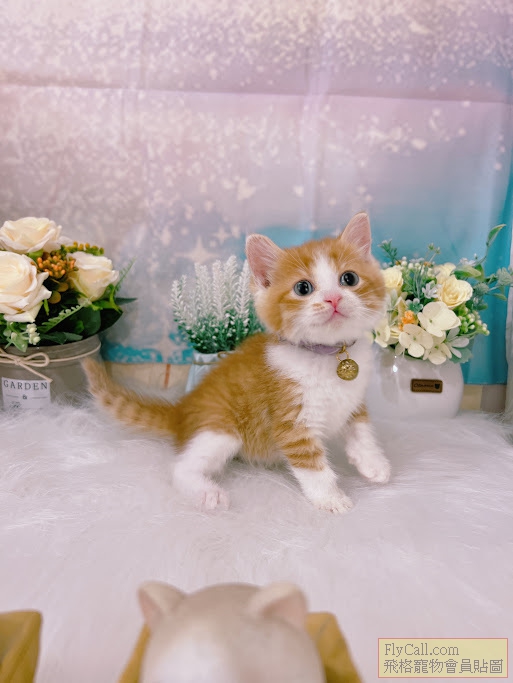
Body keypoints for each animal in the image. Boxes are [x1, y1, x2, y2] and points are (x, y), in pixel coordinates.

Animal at [83, 212, 390, 513]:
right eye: (303, 288)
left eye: (349, 278)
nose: (333, 298)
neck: (325, 355)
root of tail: (181, 410)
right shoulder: (290, 420)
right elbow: (312, 464)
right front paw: (330, 498)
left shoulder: (353, 399)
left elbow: (361, 427)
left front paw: (373, 462)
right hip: (221, 429)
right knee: (180, 467)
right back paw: (206, 492)